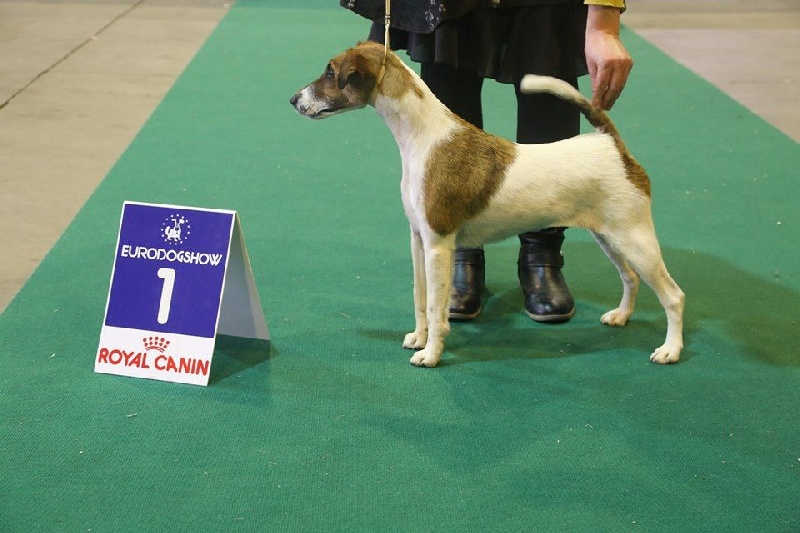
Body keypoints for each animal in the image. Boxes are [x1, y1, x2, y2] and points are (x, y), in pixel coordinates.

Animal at [290, 41, 685, 368]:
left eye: (331, 72)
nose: (294, 99)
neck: (423, 138)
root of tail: (612, 145)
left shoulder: (438, 245)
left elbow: (435, 306)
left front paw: (430, 354)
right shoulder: (418, 240)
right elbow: (419, 298)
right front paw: (418, 338)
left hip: (635, 239)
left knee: (673, 295)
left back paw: (670, 350)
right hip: (610, 237)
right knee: (630, 277)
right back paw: (620, 316)